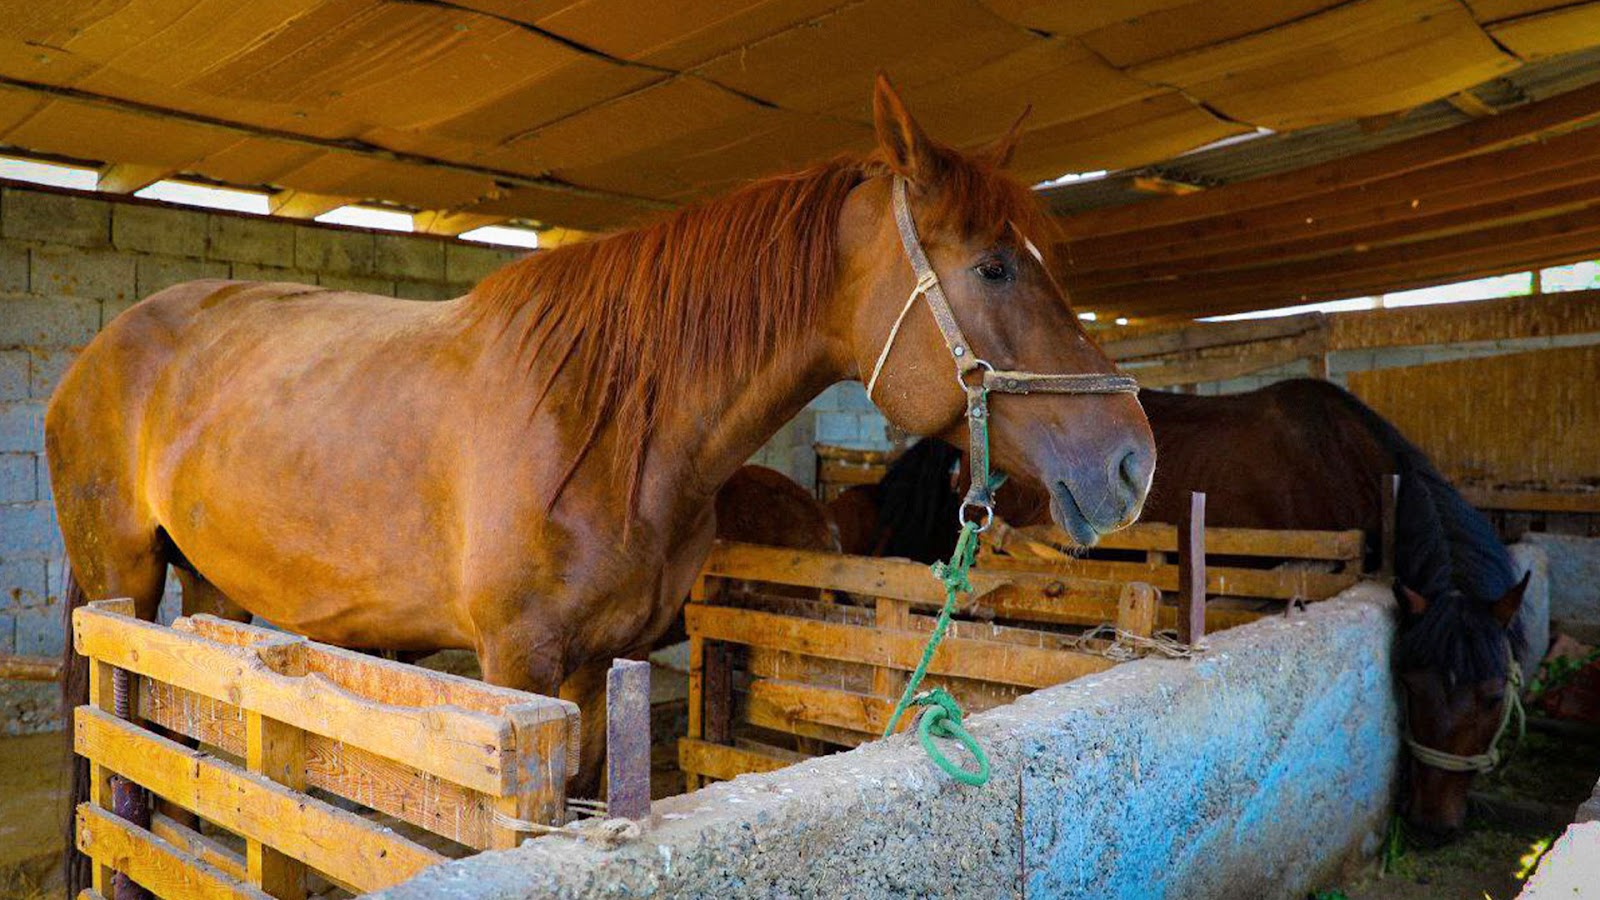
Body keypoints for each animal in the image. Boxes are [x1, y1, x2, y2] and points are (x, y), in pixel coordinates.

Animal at [46, 75, 1152, 883]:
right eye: (996, 267)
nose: (1132, 461)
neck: (604, 422)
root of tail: (93, 356)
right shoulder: (514, 668)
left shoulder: (594, 669)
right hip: (125, 583)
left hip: (219, 588)